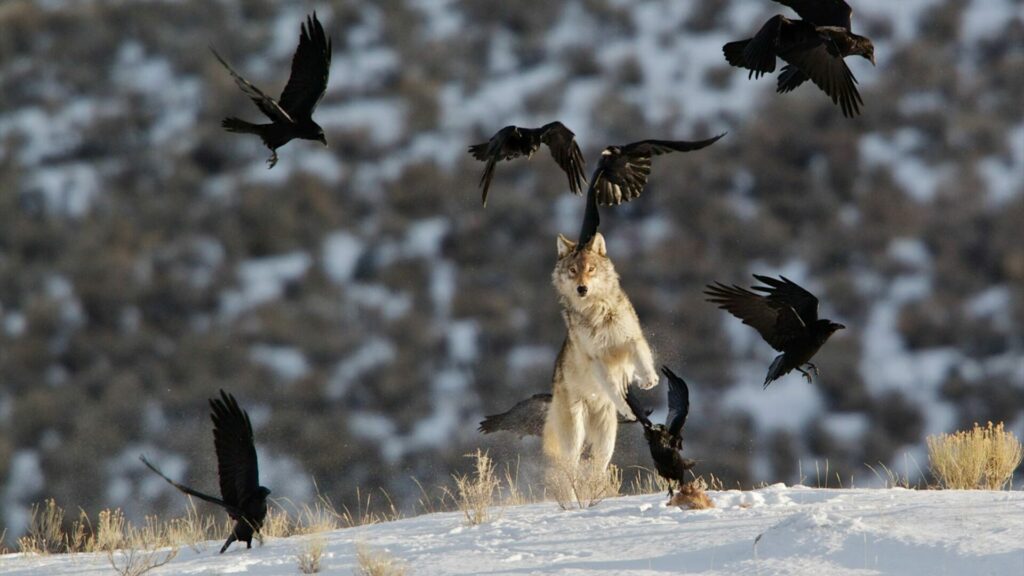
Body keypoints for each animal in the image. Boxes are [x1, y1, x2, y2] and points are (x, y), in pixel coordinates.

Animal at [540, 230, 659, 469]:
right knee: (570, 468)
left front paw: (648, 379)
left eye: (591, 269)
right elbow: (613, 387)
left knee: (598, 467)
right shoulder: (596, 359)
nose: (582, 288)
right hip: (574, 437)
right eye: (573, 270)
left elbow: (643, 359)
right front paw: (626, 408)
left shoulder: (632, 339)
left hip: (606, 442)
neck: (598, 310)